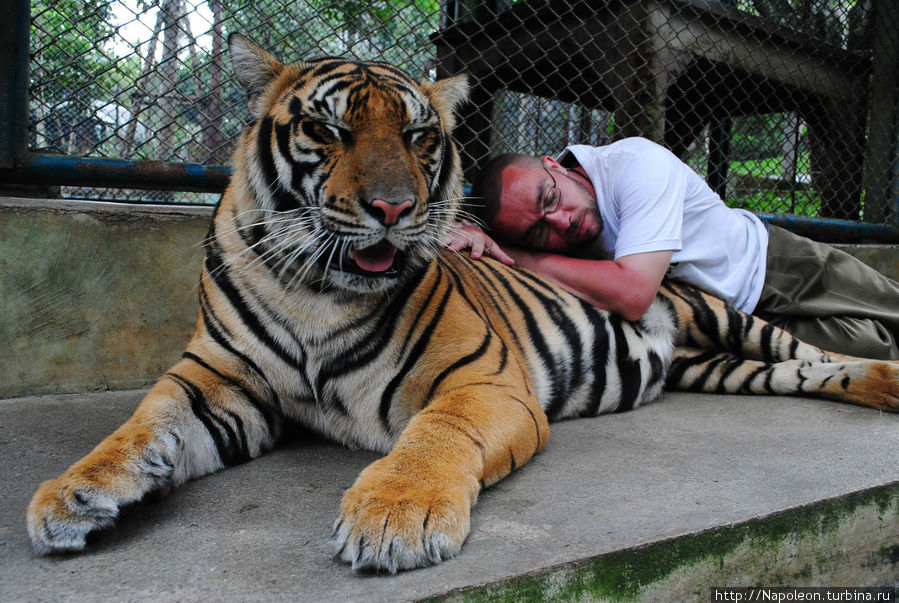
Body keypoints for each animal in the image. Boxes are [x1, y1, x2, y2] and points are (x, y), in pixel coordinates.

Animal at [26, 34, 899, 576]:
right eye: (326, 130)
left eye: (419, 137)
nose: (392, 208)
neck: (315, 292)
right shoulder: (217, 380)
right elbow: (142, 426)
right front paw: (72, 493)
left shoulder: (479, 379)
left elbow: (432, 439)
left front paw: (394, 514)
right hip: (717, 366)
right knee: (805, 376)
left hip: (723, 316)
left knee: (819, 353)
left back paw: (889, 379)